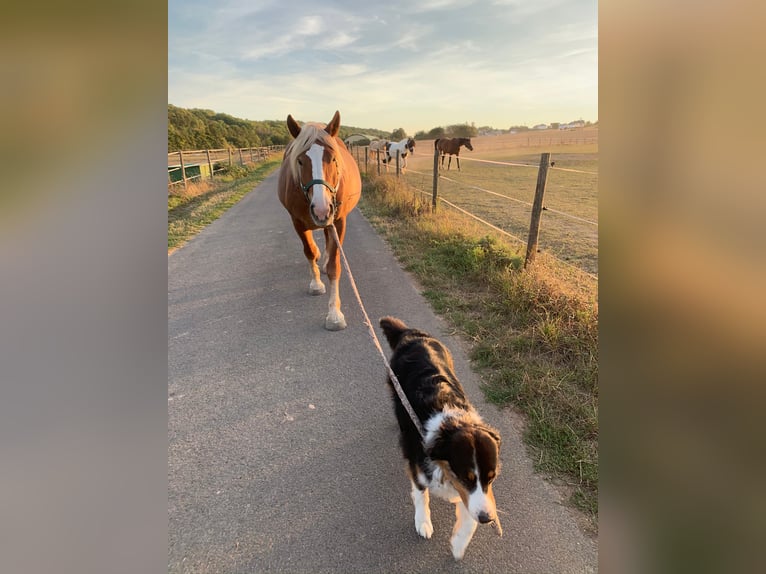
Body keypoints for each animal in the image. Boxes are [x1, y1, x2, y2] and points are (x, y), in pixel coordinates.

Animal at [277, 110, 362, 330]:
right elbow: (309, 251)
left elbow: (334, 266)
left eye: (332, 159)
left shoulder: (338, 221)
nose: (321, 208)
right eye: (300, 161)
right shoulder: (297, 221)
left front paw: (334, 313)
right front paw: (315, 283)